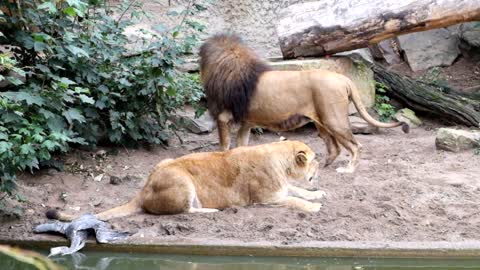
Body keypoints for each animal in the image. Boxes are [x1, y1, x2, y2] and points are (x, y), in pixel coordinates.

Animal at [47, 140, 324, 220]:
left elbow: (299, 192)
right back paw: (214, 210)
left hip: (164, 162)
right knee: (185, 211)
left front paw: (318, 194)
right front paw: (315, 206)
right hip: (182, 180)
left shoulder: (283, 188)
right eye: (314, 159)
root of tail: (143, 188)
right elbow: (295, 201)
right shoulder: (267, 199)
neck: (281, 163)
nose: (322, 165)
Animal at [199, 33, 408, 174]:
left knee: (356, 146)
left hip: (334, 120)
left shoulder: (223, 117)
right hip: (322, 122)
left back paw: (347, 169)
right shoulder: (246, 122)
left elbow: (224, 146)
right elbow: (241, 147)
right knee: (335, 147)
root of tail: (343, 79)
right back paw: (323, 165)